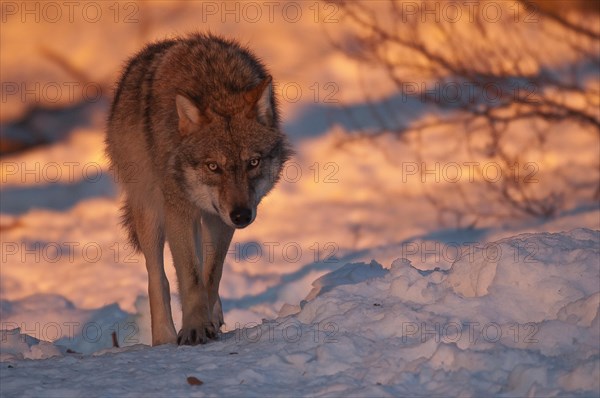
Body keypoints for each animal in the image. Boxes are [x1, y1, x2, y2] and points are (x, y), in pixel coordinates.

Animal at [106, 33, 292, 346]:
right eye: (213, 166)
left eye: (253, 162)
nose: (242, 216)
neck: (215, 86)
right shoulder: (178, 210)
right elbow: (190, 278)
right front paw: (193, 328)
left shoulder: (219, 218)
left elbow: (211, 274)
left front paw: (206, 321)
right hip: (150, 211)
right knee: (157, 278)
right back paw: (164, 338)